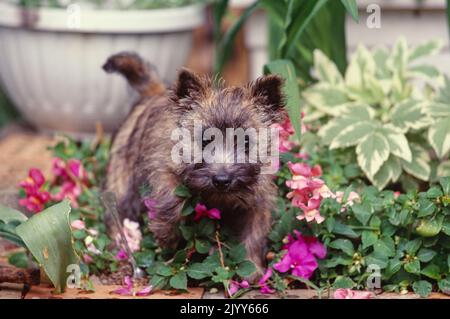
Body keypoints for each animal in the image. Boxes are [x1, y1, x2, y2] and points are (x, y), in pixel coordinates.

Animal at [103, 52, 284, 278]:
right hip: (122, 182)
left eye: (246, 142)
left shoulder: (259, 200)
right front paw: (166, 235)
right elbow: (170, 200)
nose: (221, 180)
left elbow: (255, 232)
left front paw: (253, 268)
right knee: (117, 213)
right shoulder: (163, 168)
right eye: (204, 141)